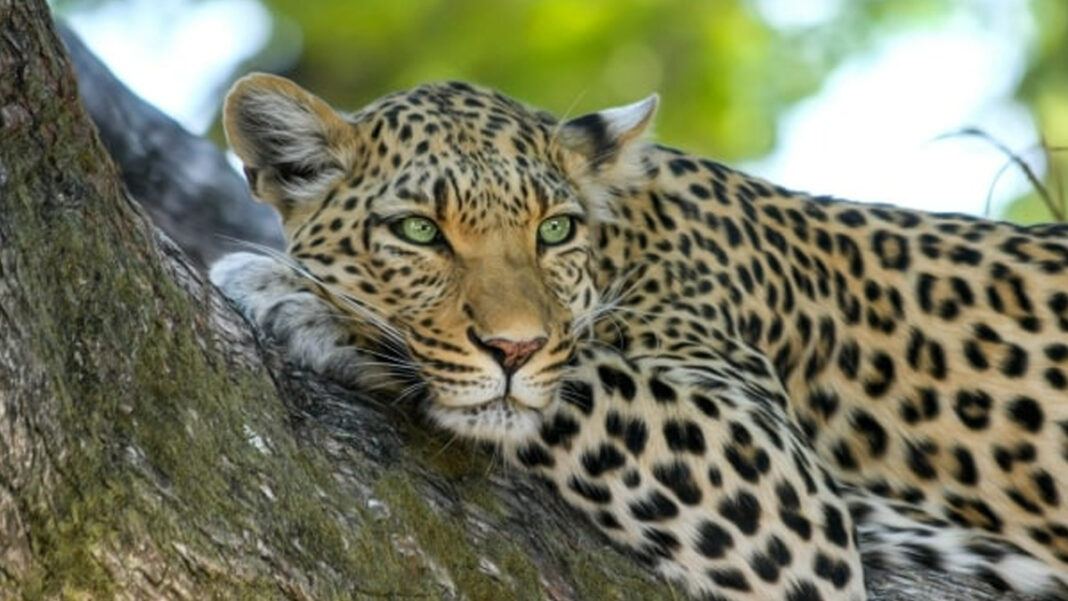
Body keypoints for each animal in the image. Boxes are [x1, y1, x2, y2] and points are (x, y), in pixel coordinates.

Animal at [210, 72, 1068, 601]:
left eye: (554, 230)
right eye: (420, 230)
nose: (514, 349)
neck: (627, 242)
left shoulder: (778, 484)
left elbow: (583, 376)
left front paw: (302, 299)